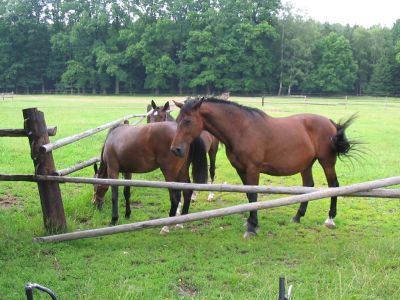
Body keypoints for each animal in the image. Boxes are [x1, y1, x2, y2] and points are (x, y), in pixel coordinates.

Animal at [170, 97, 358, 238]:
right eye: (177, 120)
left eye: (188, 121)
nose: (175, 149)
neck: (241, 129)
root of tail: (330, 122)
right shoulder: (241, 170)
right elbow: (248, 195)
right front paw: (250, 221)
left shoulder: (253, 169)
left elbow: (253, 195)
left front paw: (252, 227)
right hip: (306, 164)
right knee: (308, 186)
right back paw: (298, 216)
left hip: (327, 162)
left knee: (334, 186)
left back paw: (330, 219)